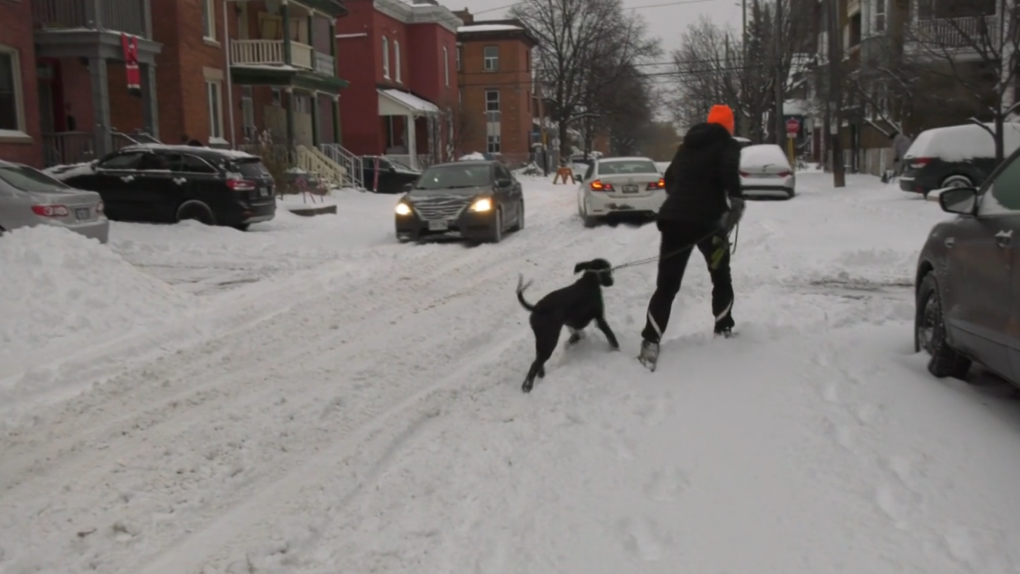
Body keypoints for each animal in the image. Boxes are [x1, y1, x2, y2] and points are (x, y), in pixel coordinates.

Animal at [514, 257, 616, 393]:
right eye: (608, 271)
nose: (612, 282)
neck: (590, 279)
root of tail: (536, 308)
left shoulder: (572, 323)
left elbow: (576, 335)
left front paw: (573, 342)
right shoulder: (599, 318)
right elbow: (610, 335)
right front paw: (616, 350)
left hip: (541, 339)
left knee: (537, 360)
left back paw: (541, 376)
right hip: (550, 340)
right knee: (535, 364)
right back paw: (527, 387)